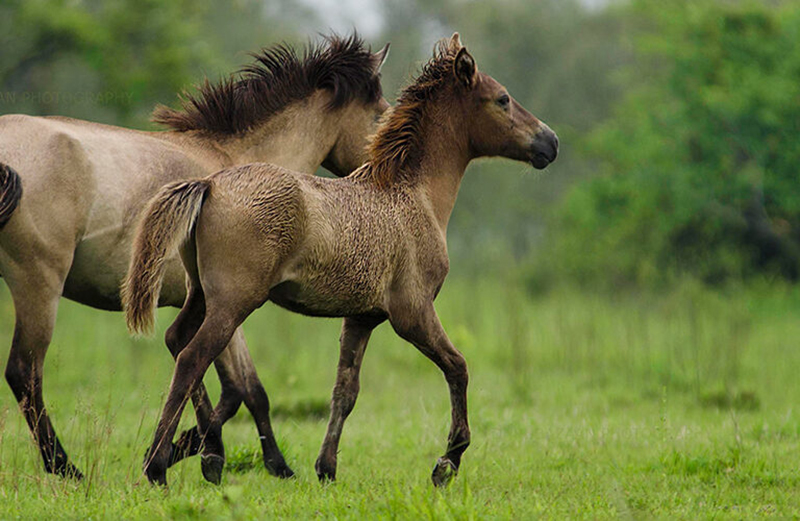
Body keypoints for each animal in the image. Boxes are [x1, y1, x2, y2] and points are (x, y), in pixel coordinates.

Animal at [0, 32, 390, 482]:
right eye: (380, 114)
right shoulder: (229, 304)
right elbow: (233, 387)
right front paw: (200, 452)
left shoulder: (208, 303)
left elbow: (241, 388)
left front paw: (248, 459)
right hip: (38, 283)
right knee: (24, 372)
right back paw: (65, 467)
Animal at [125, 32, 560, 486]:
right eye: (503, 99)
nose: (550, 142)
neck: (413, 194)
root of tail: (209, 185)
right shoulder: (413, 311)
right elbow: (458, 367)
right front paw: (448, 462)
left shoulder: (362, 317)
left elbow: (344, 392)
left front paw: (327, 468)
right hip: (232, 302)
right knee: (192, 358)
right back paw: (161, 466)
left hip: (200, 295)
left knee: (176, 340)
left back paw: (187, 455)